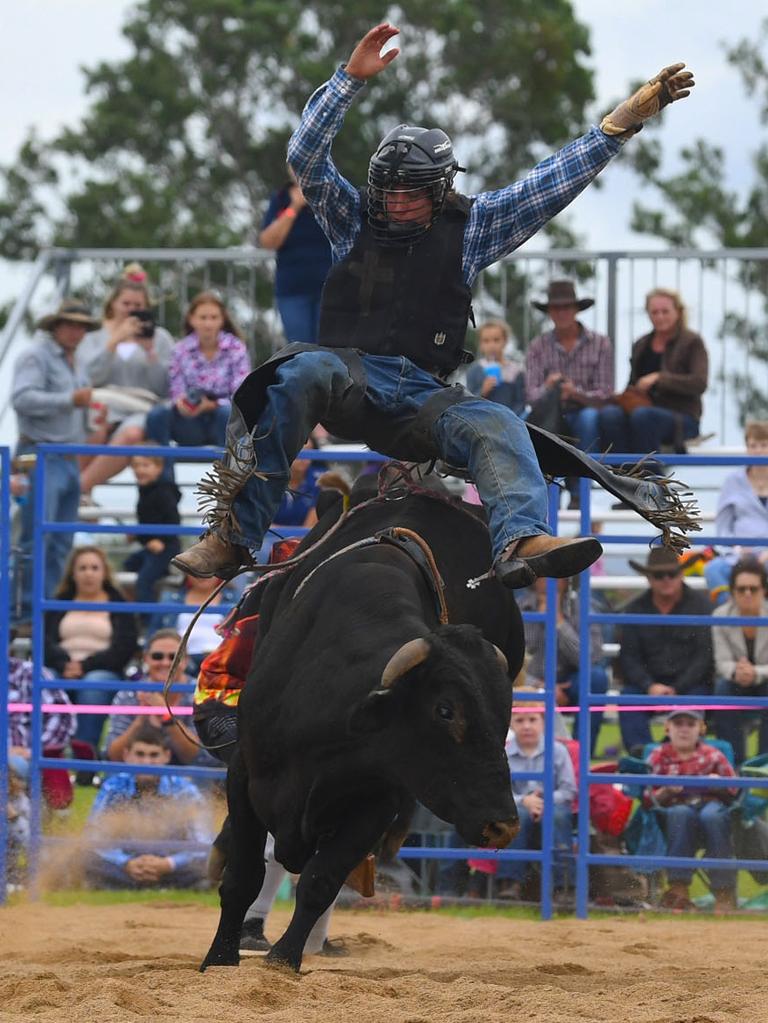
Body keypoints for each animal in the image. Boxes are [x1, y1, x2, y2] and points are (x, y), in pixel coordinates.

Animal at [201, 486, 527, 973]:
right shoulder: (245, 773)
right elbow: (243, 875)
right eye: (445, 711)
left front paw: (284, 960)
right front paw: (221, 957)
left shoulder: (378, 800)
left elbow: (320, 880)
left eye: (504, 713)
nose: (502, 826)